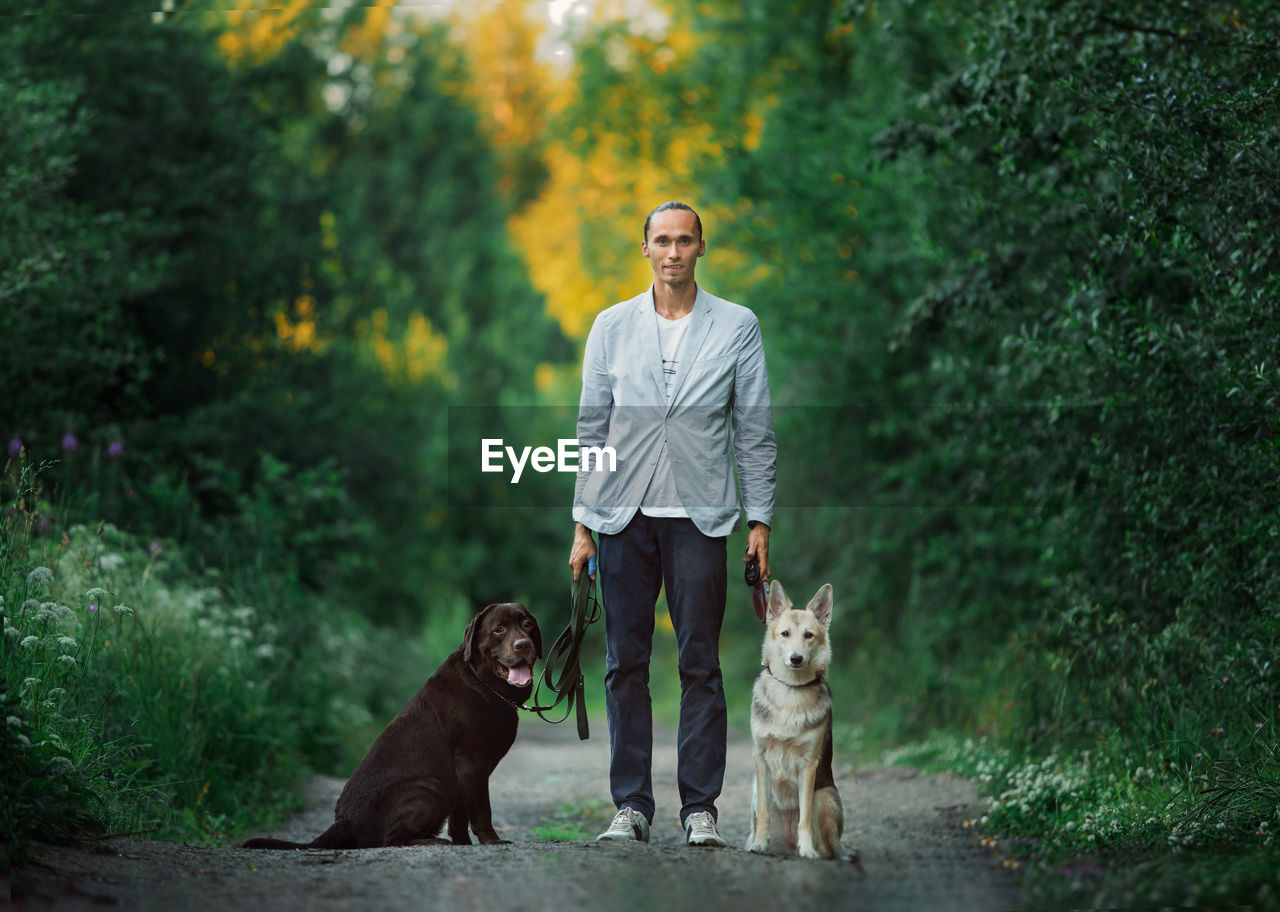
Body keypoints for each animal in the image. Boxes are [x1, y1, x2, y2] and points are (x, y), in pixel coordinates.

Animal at [241, 602, 542, 850]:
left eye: (527, 624)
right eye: (499, 629)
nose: (523, 644)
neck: (483, 684)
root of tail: (343, 823)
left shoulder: (464, 775)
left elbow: (460, 815)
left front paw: (464, 844)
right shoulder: (471, 763)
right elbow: (481, 810)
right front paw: (492, 841)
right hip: (427, 787)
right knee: (391, 840)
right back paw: (433, 842)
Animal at [747, 581, 844, 860]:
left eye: (809, 635)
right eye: (785, 634)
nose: (796, 658)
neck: (790, 691)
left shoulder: (808, 765)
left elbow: (804, 818)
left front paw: (808, 850)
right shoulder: (761, 759)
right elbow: (765, 814)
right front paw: (759, 844)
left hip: (824, 798)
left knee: (827, 844)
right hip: (756, 792)